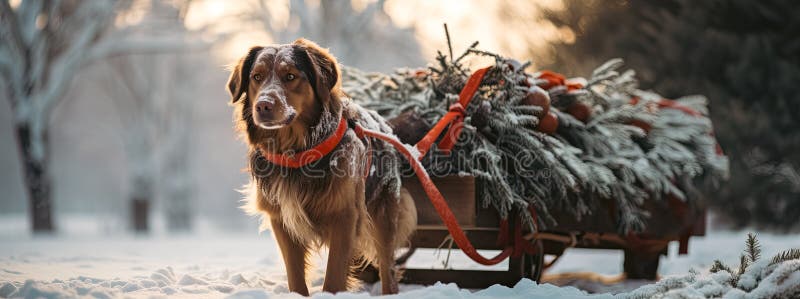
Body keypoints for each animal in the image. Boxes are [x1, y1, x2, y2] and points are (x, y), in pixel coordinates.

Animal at [223, 39, 412, 296]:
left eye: (290, 76)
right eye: (256, 77)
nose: (263, 106)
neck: (296, 152)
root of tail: (384, 123)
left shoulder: (345, 215)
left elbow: (334, 276)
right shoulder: (281, 219)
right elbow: (294, 275)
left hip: (384, 212)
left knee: (388, 266)